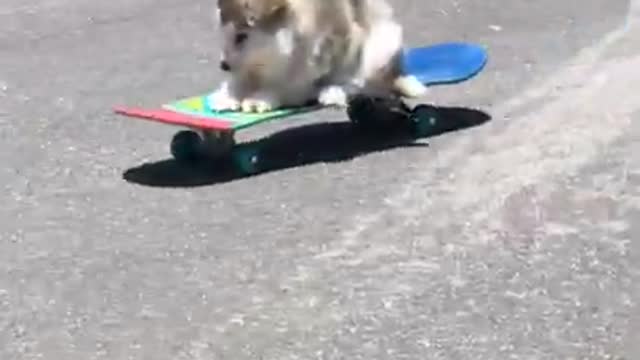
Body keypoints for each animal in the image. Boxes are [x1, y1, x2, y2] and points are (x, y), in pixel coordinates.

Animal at [209, 0, 424, 112]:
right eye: (224, 33)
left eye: (241, 36)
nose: (223, 65)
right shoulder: (247, 70)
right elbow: (238, 82)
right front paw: (227, 96)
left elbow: (283, 87)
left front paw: (258, 99)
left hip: (382, 45)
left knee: (362, 84)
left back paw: (332, 92)